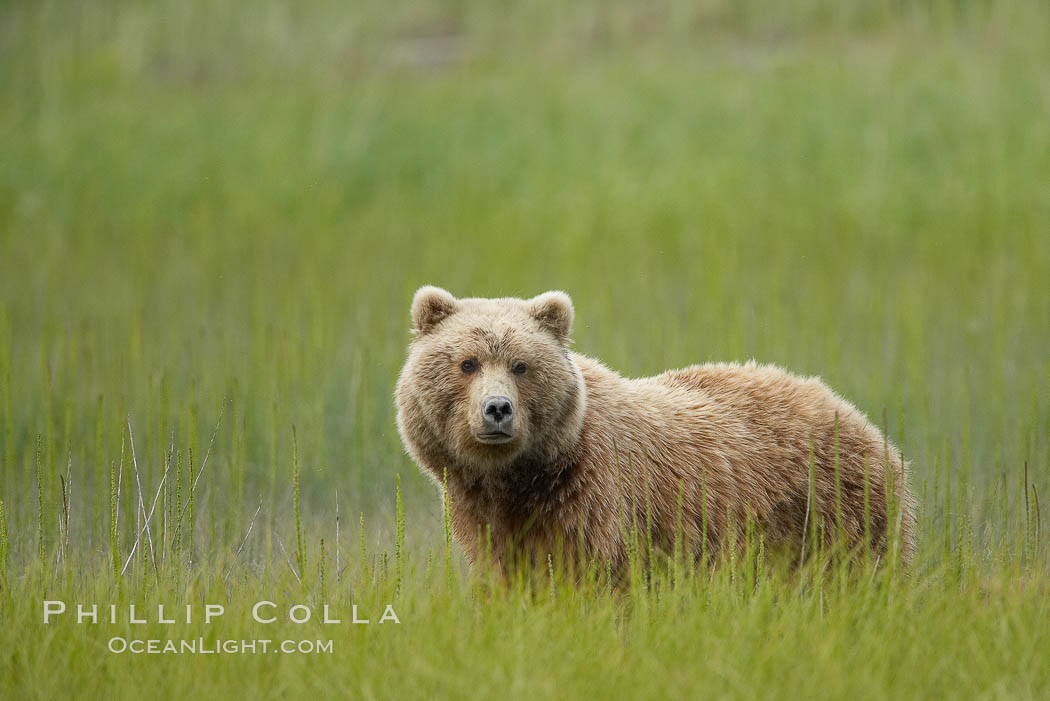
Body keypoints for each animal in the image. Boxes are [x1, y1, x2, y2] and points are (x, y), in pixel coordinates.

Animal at [394, 285, 919, 575]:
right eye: (468, 362)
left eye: (521, 365)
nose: (498, 409)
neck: (522, 478)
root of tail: (856, 415)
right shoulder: (488, 518)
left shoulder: (598, 500)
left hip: (834, 513)